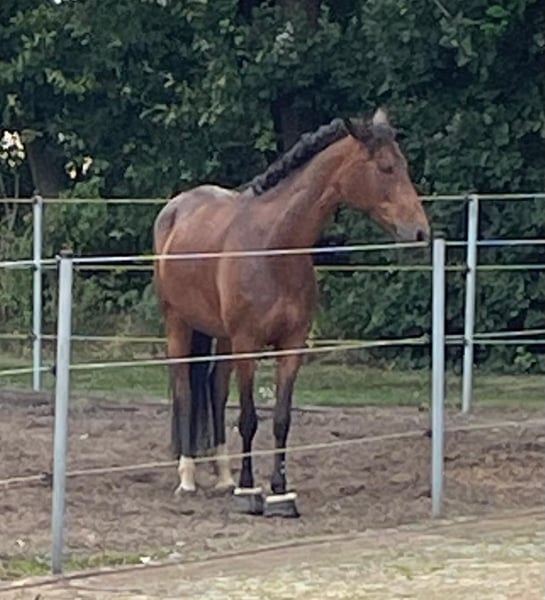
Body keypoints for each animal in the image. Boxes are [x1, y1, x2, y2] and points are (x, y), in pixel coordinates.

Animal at [153, 108, 430, 517]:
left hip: (221, 336)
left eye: (403, 165)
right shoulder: (248, 344)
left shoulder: (291, 345)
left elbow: (281, 419)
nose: (420, 232)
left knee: (215, 391)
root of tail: (176, 207)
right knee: (185, 390)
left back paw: (223, 478)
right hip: (179, 325)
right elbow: (249, 418)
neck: (274, 245)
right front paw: (250, 491)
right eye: (385, 167)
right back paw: (188, 478)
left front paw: (280, 492)